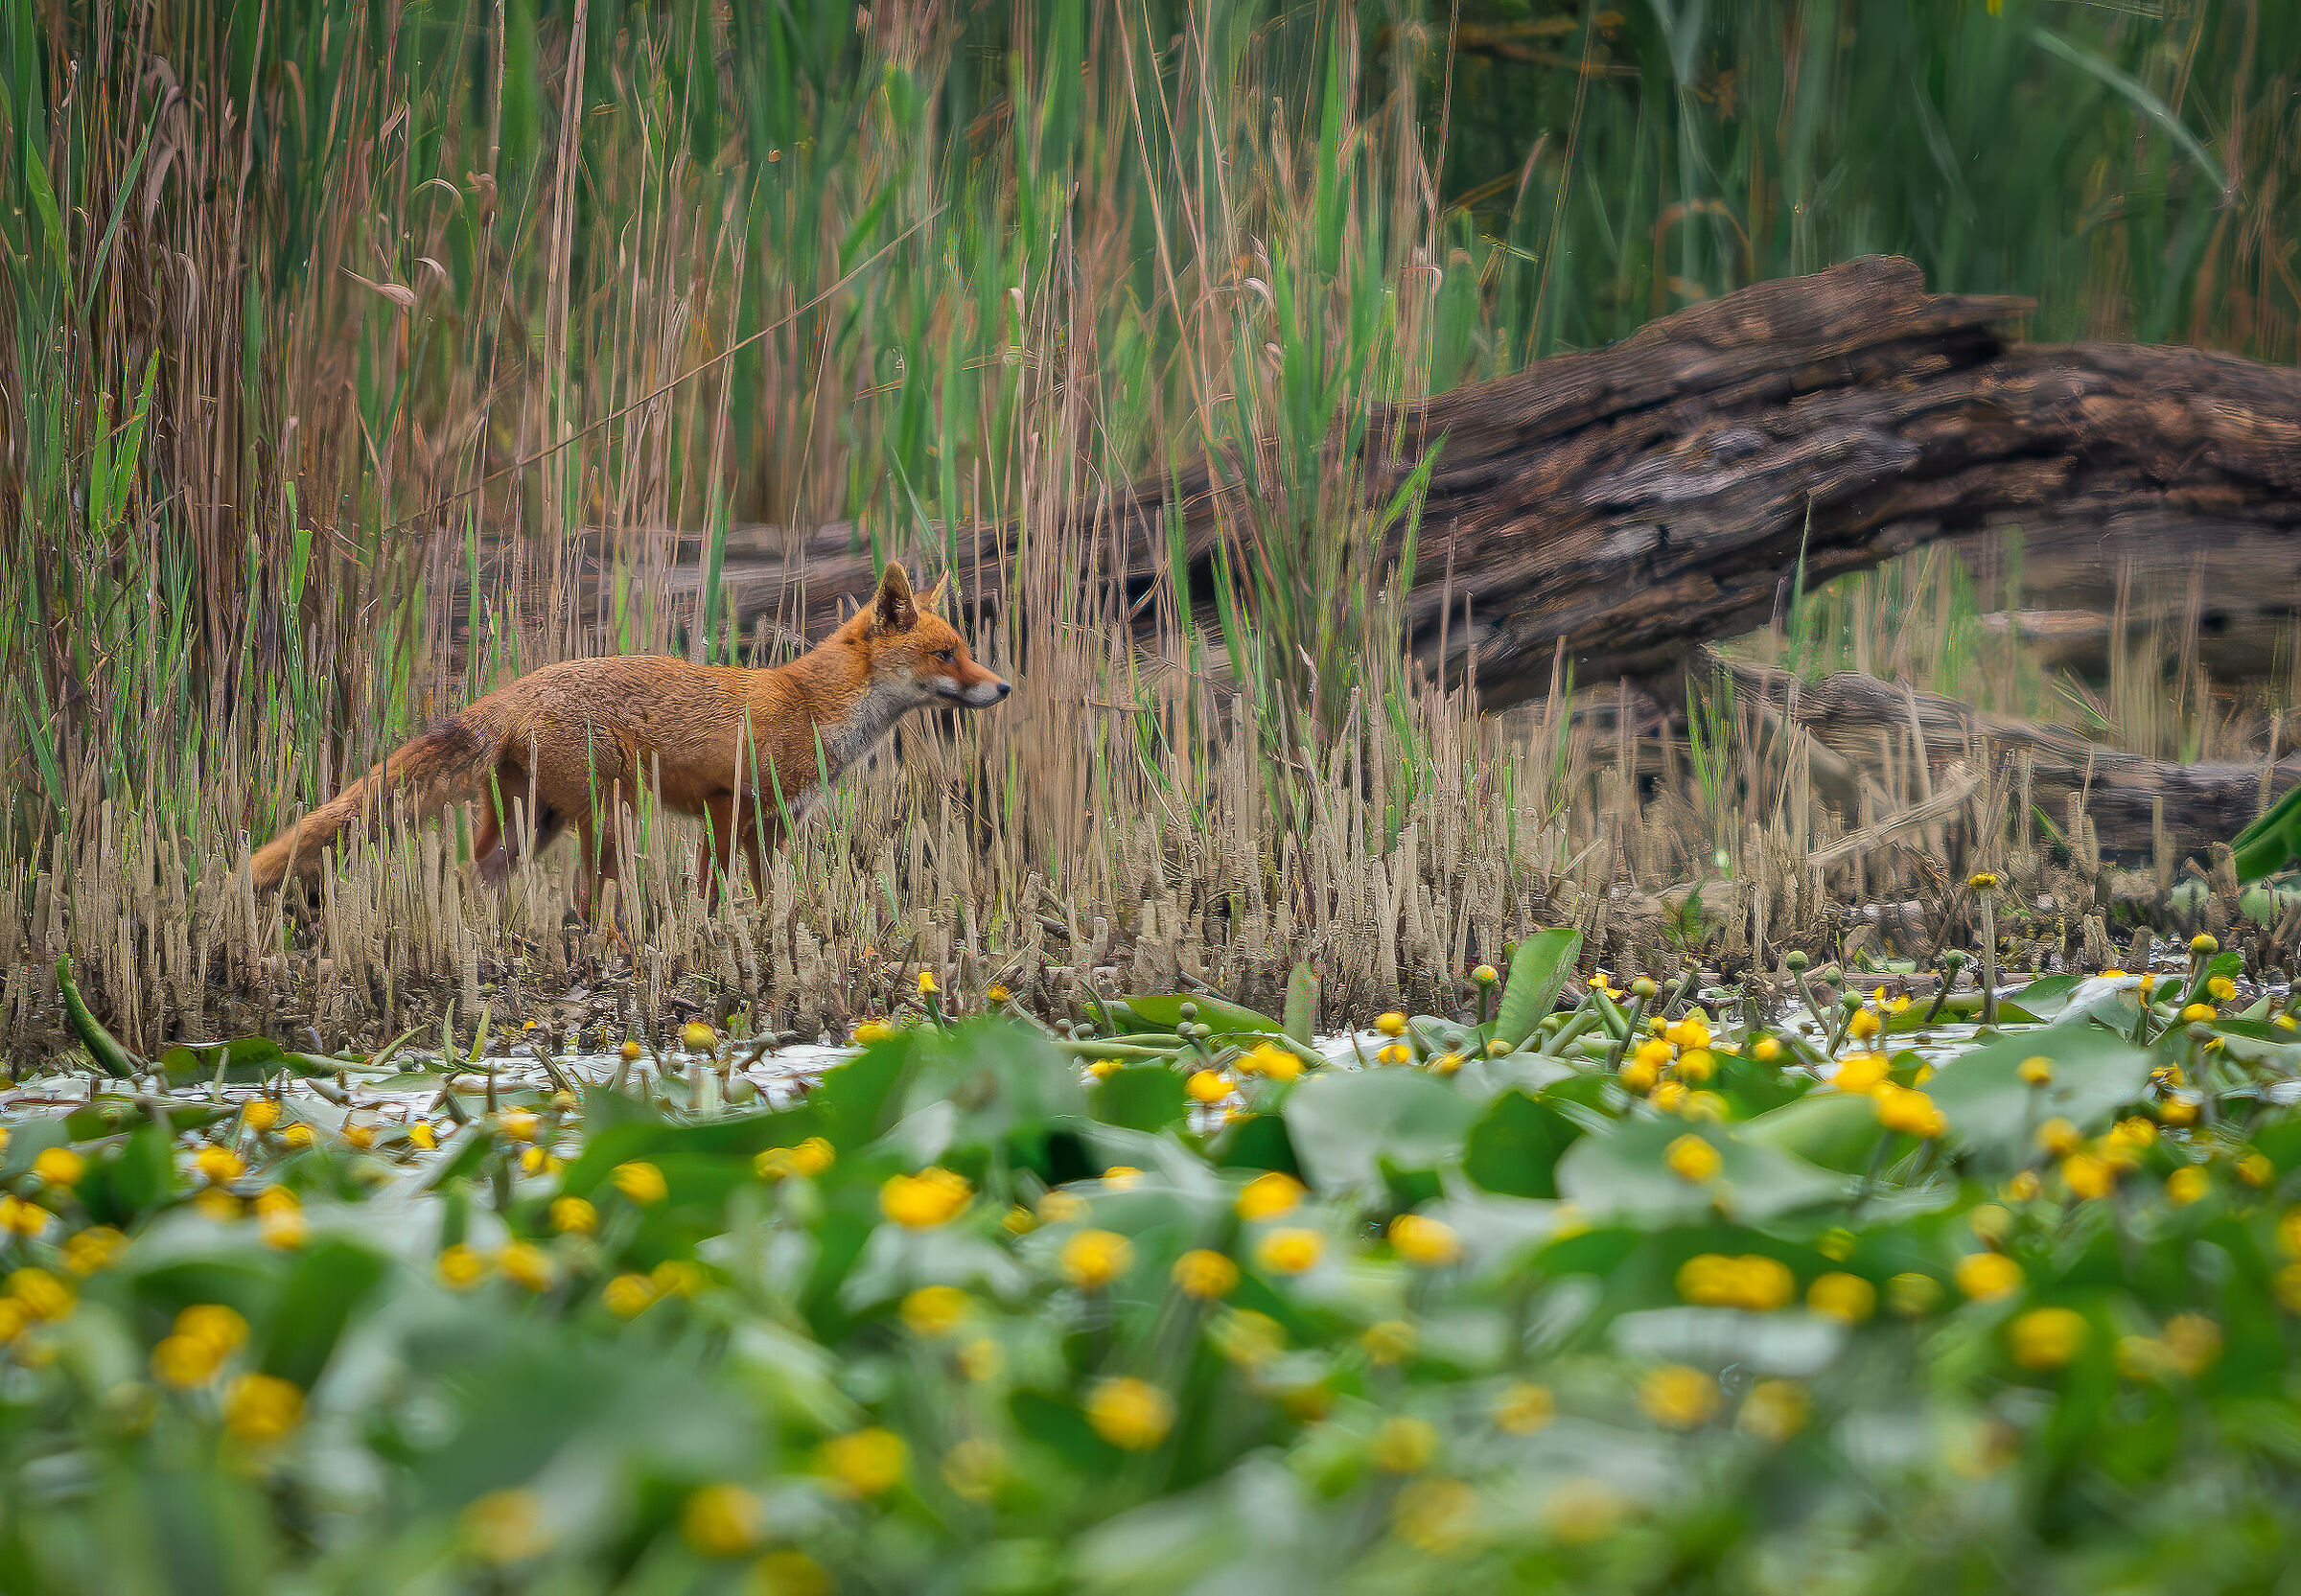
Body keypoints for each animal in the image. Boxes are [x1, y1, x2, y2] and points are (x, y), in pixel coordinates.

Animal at [249, 562, 1009, 920]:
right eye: (945, 654)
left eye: (967, 650)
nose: (1001, 688)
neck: (810, 705)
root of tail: (514, 691)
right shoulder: (727, 805)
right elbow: (710, 894)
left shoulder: (772, 824)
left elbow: (767, 896)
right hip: (607, 815)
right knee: (590, 906)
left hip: (532, 829)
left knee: (478, 884)